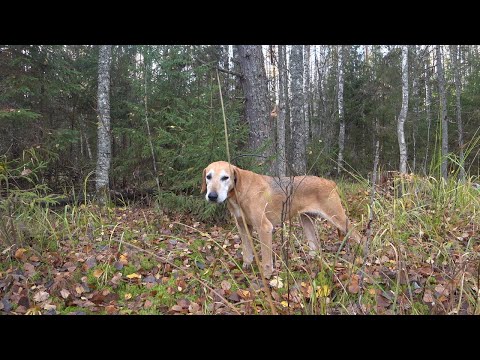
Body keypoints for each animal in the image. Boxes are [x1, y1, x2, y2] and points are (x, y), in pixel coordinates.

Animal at [201, 161, 362, 278]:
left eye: (225, 177)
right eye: (208, 177)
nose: (212, 196)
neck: (240, 191)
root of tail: (330, 182)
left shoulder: (264, 228)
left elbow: (266, 259)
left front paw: (267, 277)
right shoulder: (243, 226)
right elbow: (247, 250)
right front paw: (247, 265)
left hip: (338, 218)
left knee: (360, 236)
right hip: (306, 221)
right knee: (315, 247)